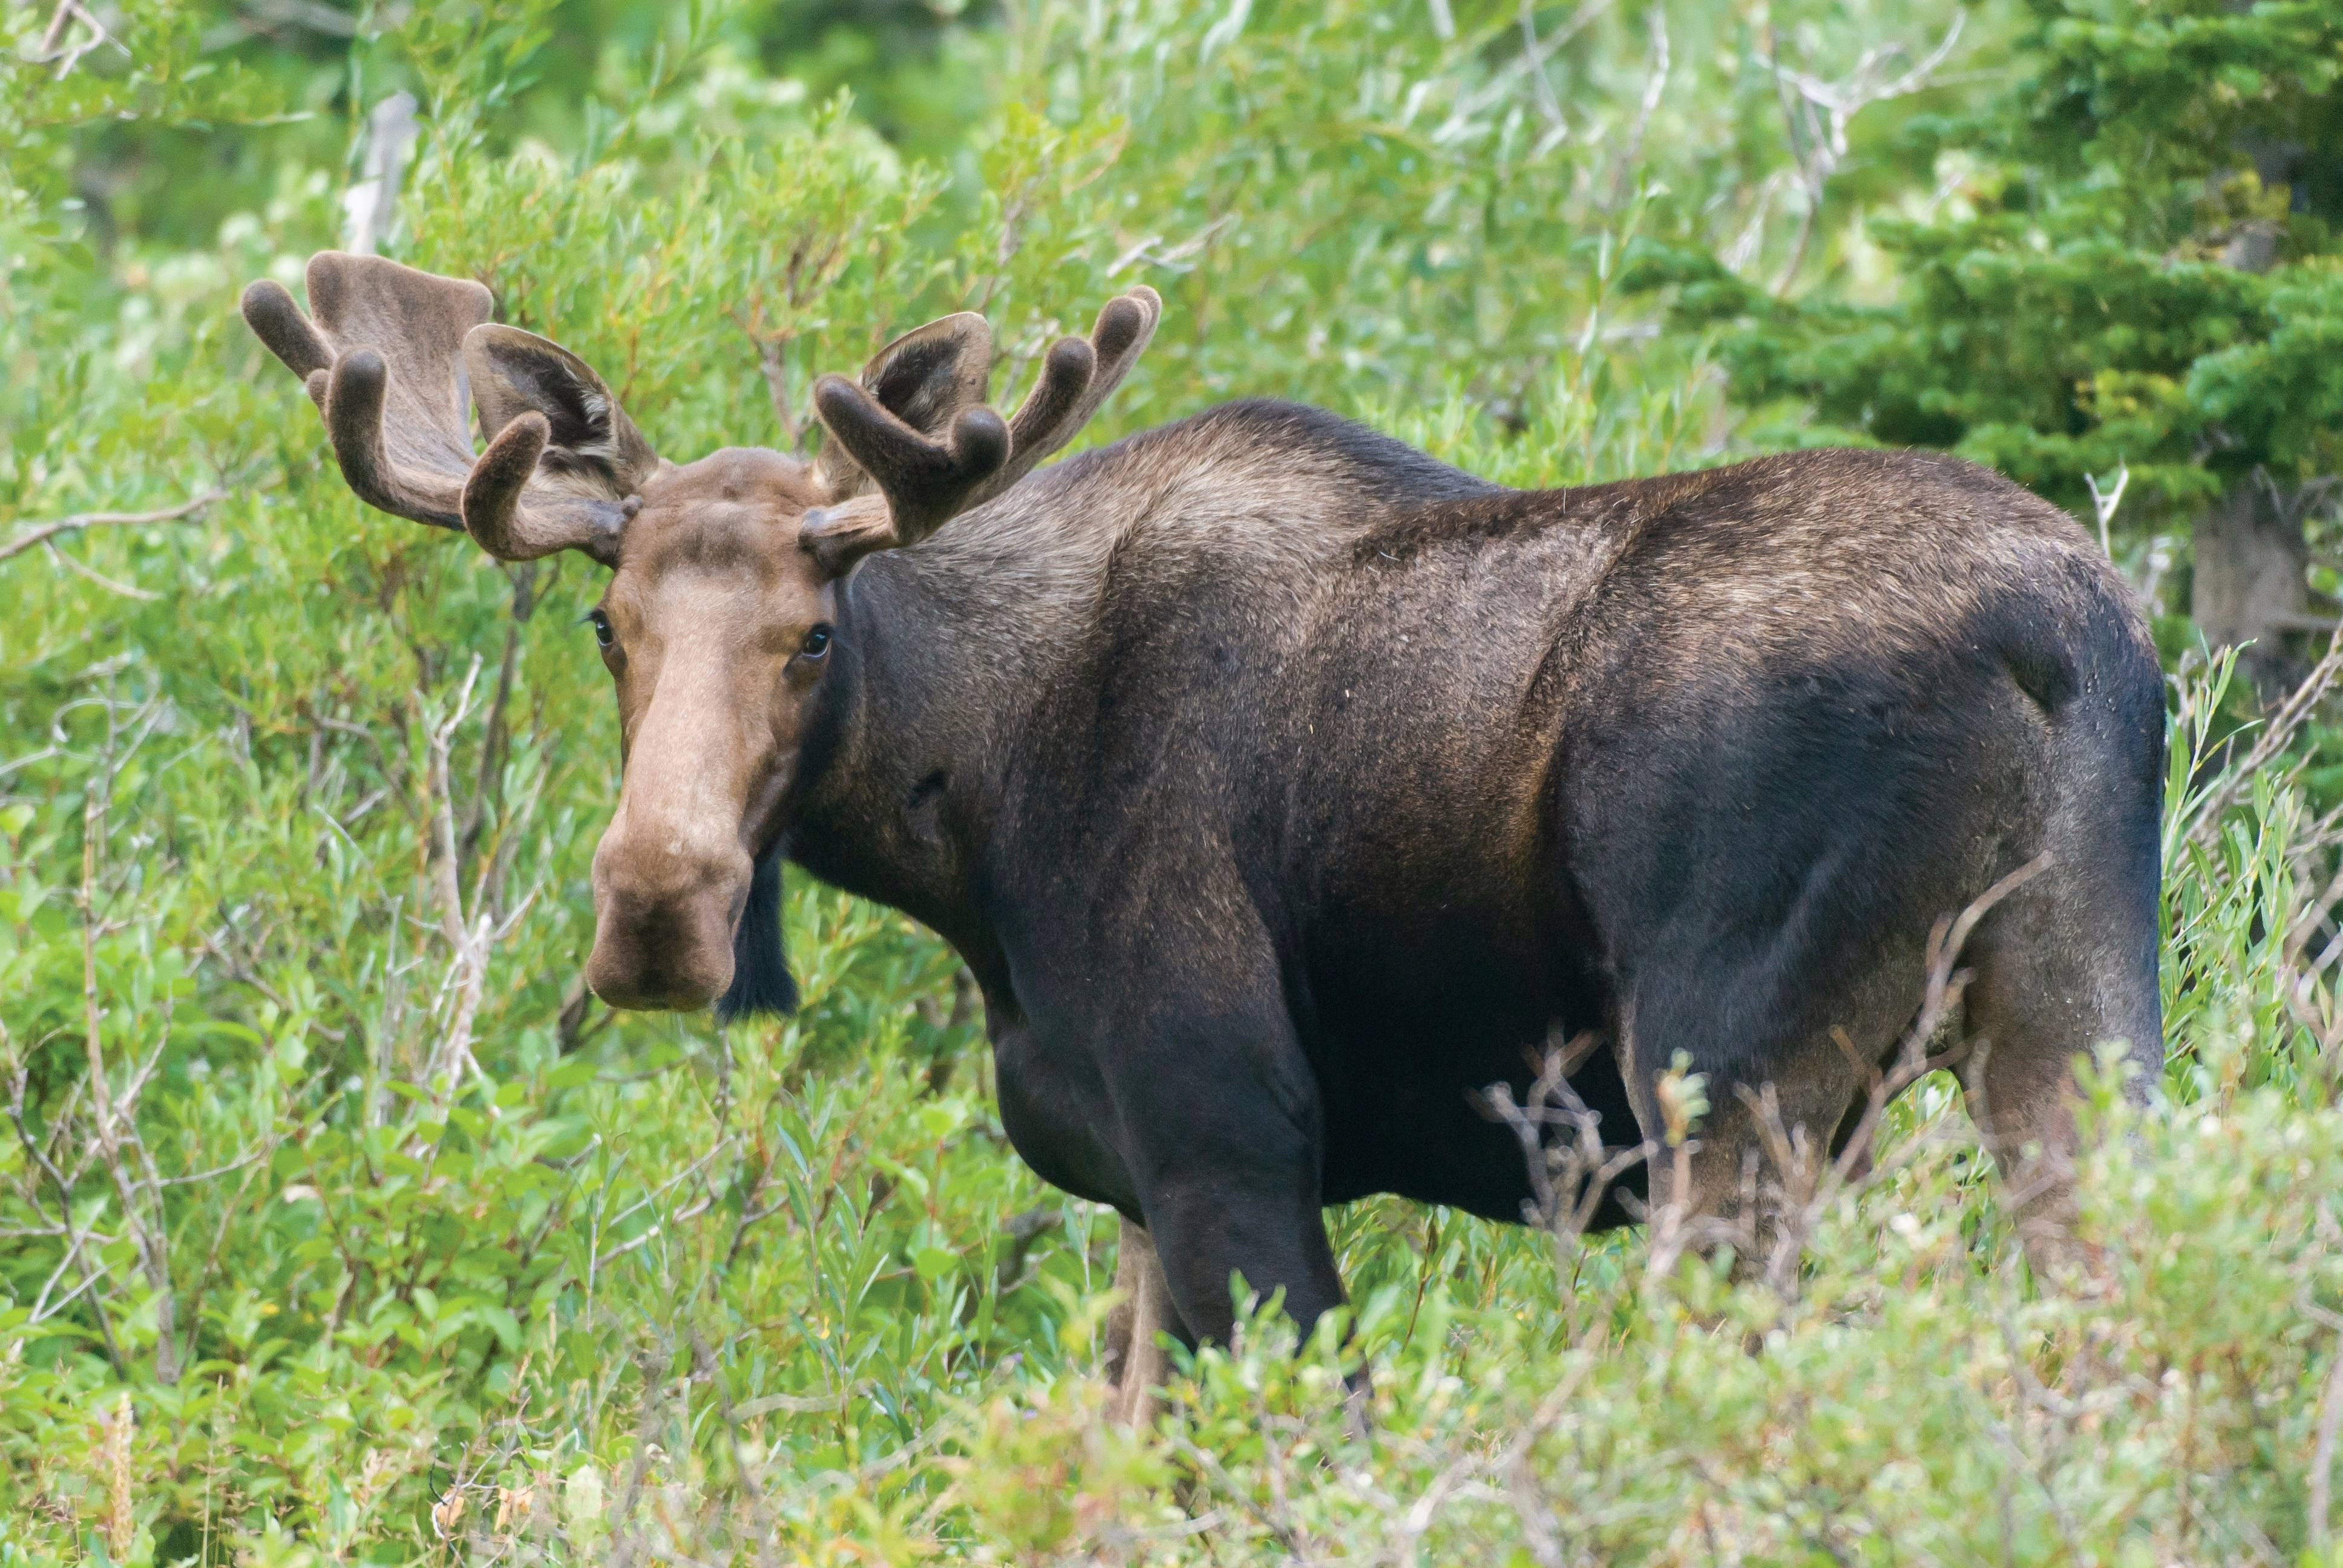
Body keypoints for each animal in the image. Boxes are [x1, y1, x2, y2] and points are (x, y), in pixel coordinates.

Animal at [242, 254, 2155, 1406]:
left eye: (813, 633)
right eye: (604, 623)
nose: (656, 907)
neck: (974, 820)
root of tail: (2064, 634)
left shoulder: (1229, 1135)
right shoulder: (1139, 1191)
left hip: (1729, 1088)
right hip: (2068, 1025)